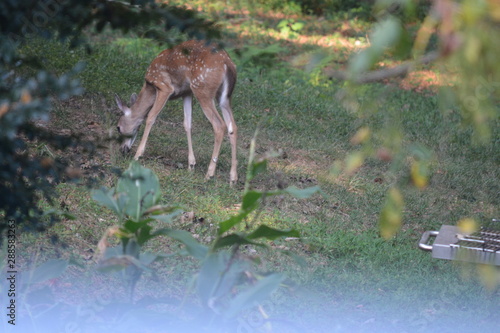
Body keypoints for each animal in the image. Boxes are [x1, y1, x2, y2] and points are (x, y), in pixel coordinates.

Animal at [115, 40, 238, 184]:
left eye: (118, 127)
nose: (122, 150)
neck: (149, 87)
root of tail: (227, 63)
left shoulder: (164, 86)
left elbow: (151, 117)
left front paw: (137, 155)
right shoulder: (186, 92)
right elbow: (187, 124)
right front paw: (191, 165)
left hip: (202, 88)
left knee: (219, 125)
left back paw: (209, 174)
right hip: (224, 96)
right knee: (232, 127)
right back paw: (233, 179)